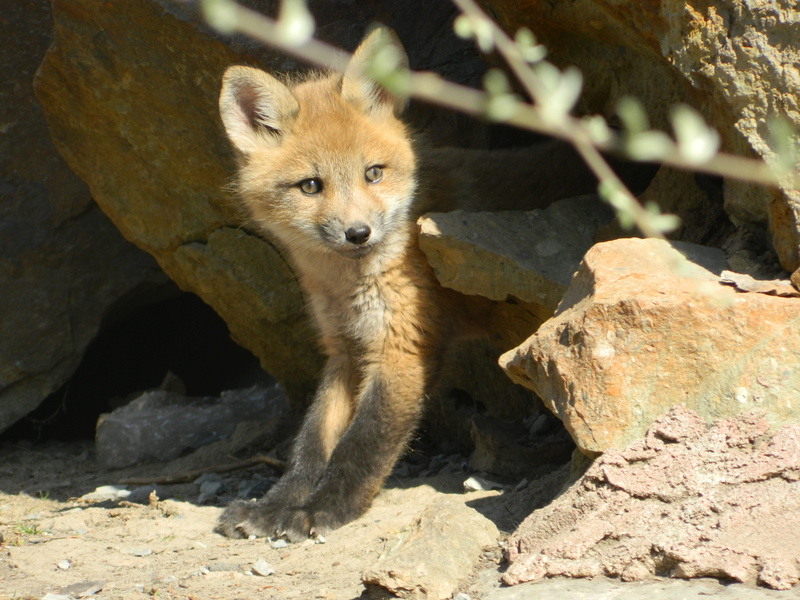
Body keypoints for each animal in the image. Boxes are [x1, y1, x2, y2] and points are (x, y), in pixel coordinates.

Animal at [215, 27, 652, 541]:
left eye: (373, 173)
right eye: (310, 186)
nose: (358, 233)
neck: (349, 287)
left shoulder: (402, 348)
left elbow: (360, 446)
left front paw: (324, 509)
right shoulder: (345, 351)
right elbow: (311, 444)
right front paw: (275, 505)